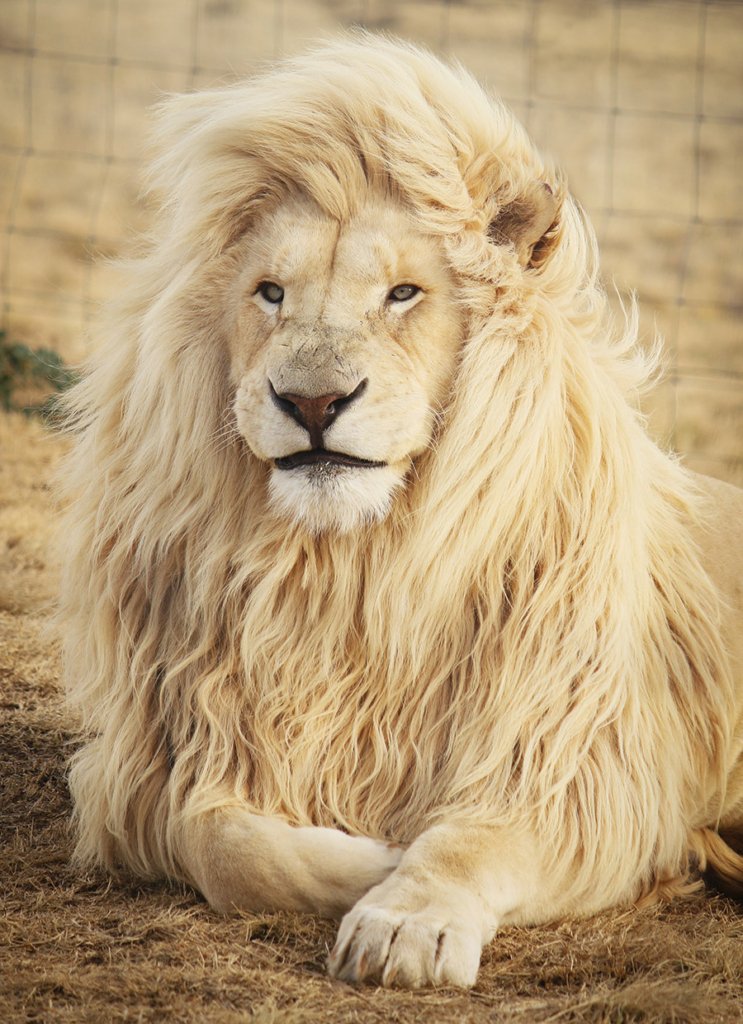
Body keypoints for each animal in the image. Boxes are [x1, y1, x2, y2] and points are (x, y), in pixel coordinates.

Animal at [59, 35, 743, 989]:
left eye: (403, 294)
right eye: (270, 293)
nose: (311, 402)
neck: (349, 569)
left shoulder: (574, 767)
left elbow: (467, 841)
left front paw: (402, 917)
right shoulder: (165, 760)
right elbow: (223, 843)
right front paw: (371, 859)